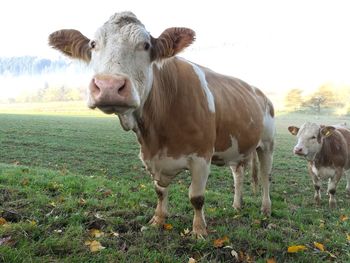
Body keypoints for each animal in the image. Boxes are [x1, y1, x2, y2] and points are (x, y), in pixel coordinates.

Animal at [48, 11, 276, 237]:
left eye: (146, 45)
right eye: (93, 44)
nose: (109, 86)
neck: (157, 134)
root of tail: (261, 93)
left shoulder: (202, 156)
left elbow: (197, 197)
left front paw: (199, 231)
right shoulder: (150, 157)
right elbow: (159, 191)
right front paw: (158, 220)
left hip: (267, 144)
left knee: (265, 176)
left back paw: (266, 208)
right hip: (238, 147)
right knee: (238, 174)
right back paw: (237, 205)